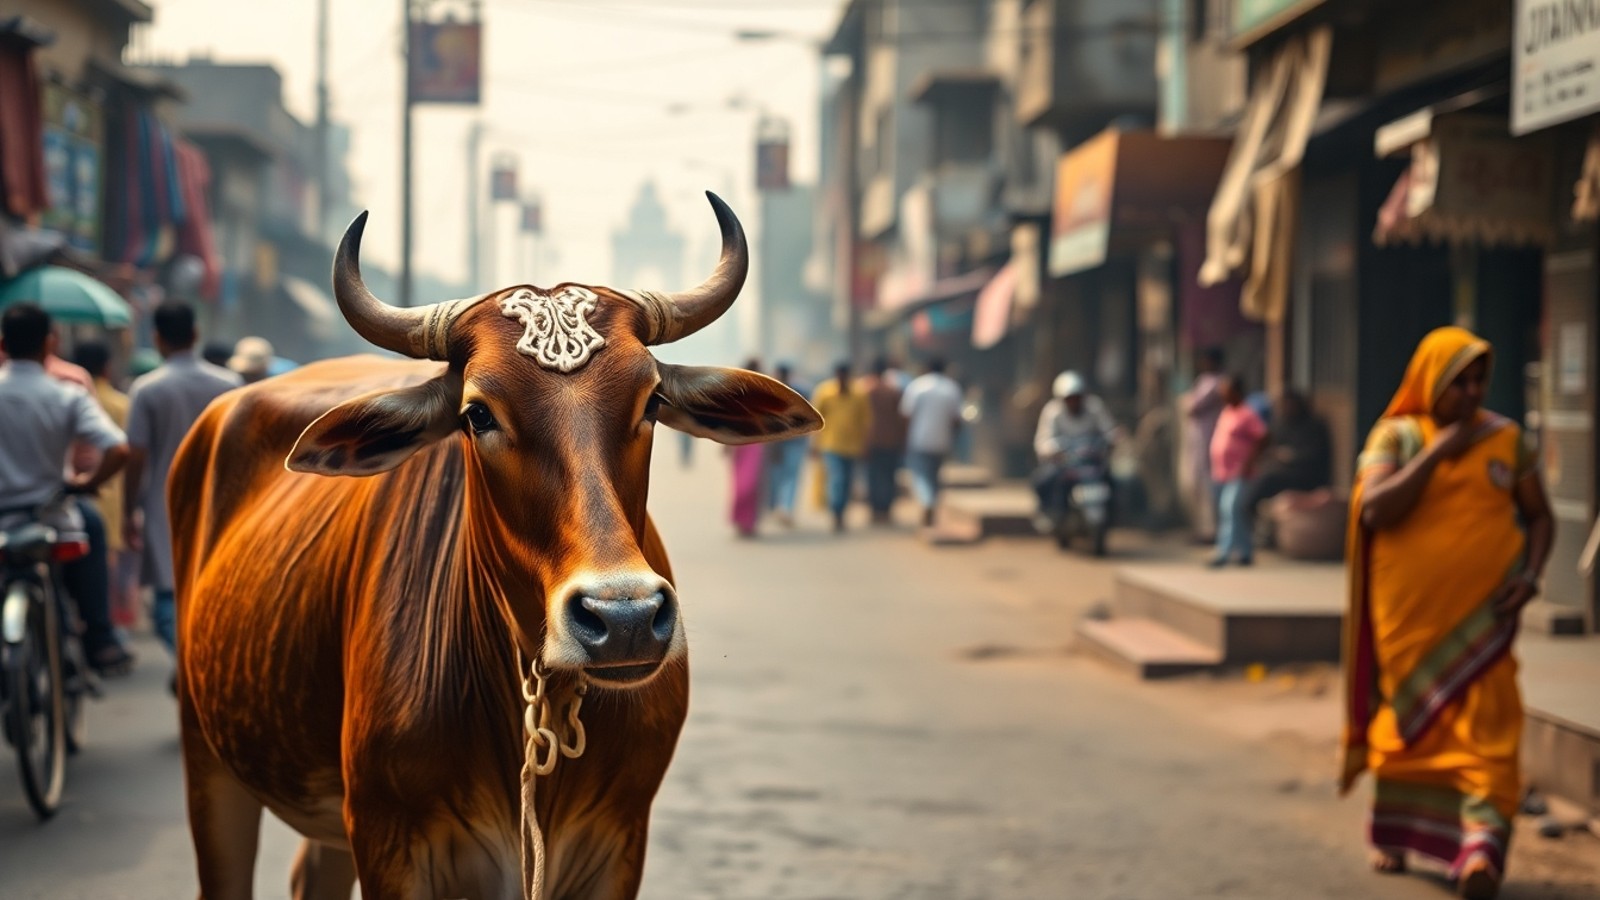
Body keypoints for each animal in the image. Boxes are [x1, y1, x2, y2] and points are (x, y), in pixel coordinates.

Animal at [168, 193, 821, 900]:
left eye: (652, 400)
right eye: (477, 414)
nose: (624, 619)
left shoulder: (620, 842)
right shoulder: (387, 840)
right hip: (209, 759)